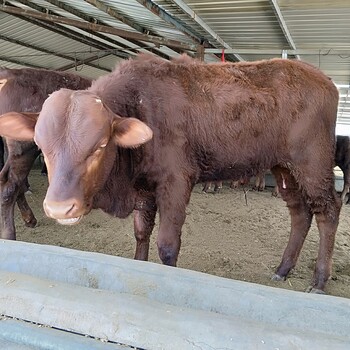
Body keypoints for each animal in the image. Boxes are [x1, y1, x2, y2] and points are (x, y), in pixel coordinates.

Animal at [0, 54, 340, 292]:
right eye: (42, 146)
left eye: (100, 146)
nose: (59, 208)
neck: (141, 103)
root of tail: (323, 78)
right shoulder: (144, 187)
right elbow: (141, 232)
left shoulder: (175, 182)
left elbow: (167, 244)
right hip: (285, 168)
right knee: (300, 213)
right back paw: (283, 269)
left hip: (313, 164)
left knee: (327, 212)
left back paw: (320, 280)